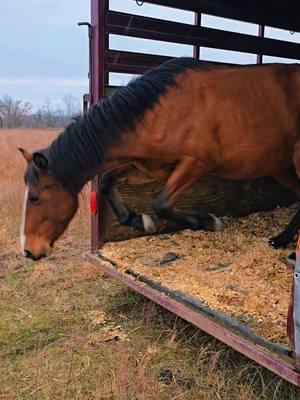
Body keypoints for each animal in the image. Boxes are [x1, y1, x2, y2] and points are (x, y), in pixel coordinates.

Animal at [19, 58, 300, 260]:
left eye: (35, 198)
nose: (29, 251)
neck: (160, 112)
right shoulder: (150, 167)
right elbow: (108, 182)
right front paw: (137, 220)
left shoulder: (195, 164)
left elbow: (162, 204)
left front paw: (207, 221)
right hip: (281, 165)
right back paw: (282, 239)